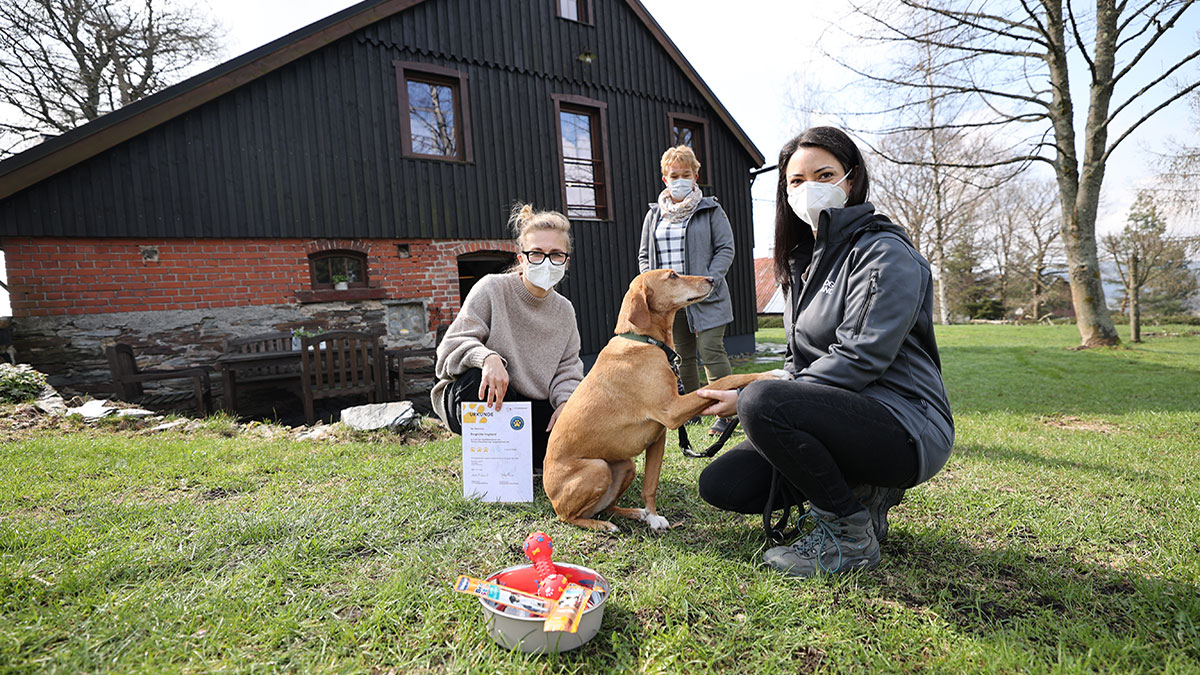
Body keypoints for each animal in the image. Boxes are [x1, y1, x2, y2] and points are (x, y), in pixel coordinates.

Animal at [544, 267, 787, 530]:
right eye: (672, 276)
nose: (711, 279)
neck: (644, 341)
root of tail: (550, 495)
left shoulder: (658, 437)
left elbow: (650, 486)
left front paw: (652, 516)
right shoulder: (673, 411)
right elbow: (725, 380)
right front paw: (774, 374)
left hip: (626, 465)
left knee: (606, 507)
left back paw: (633, 513)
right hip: (597, 469)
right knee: (568, 516)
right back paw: (602, 526)